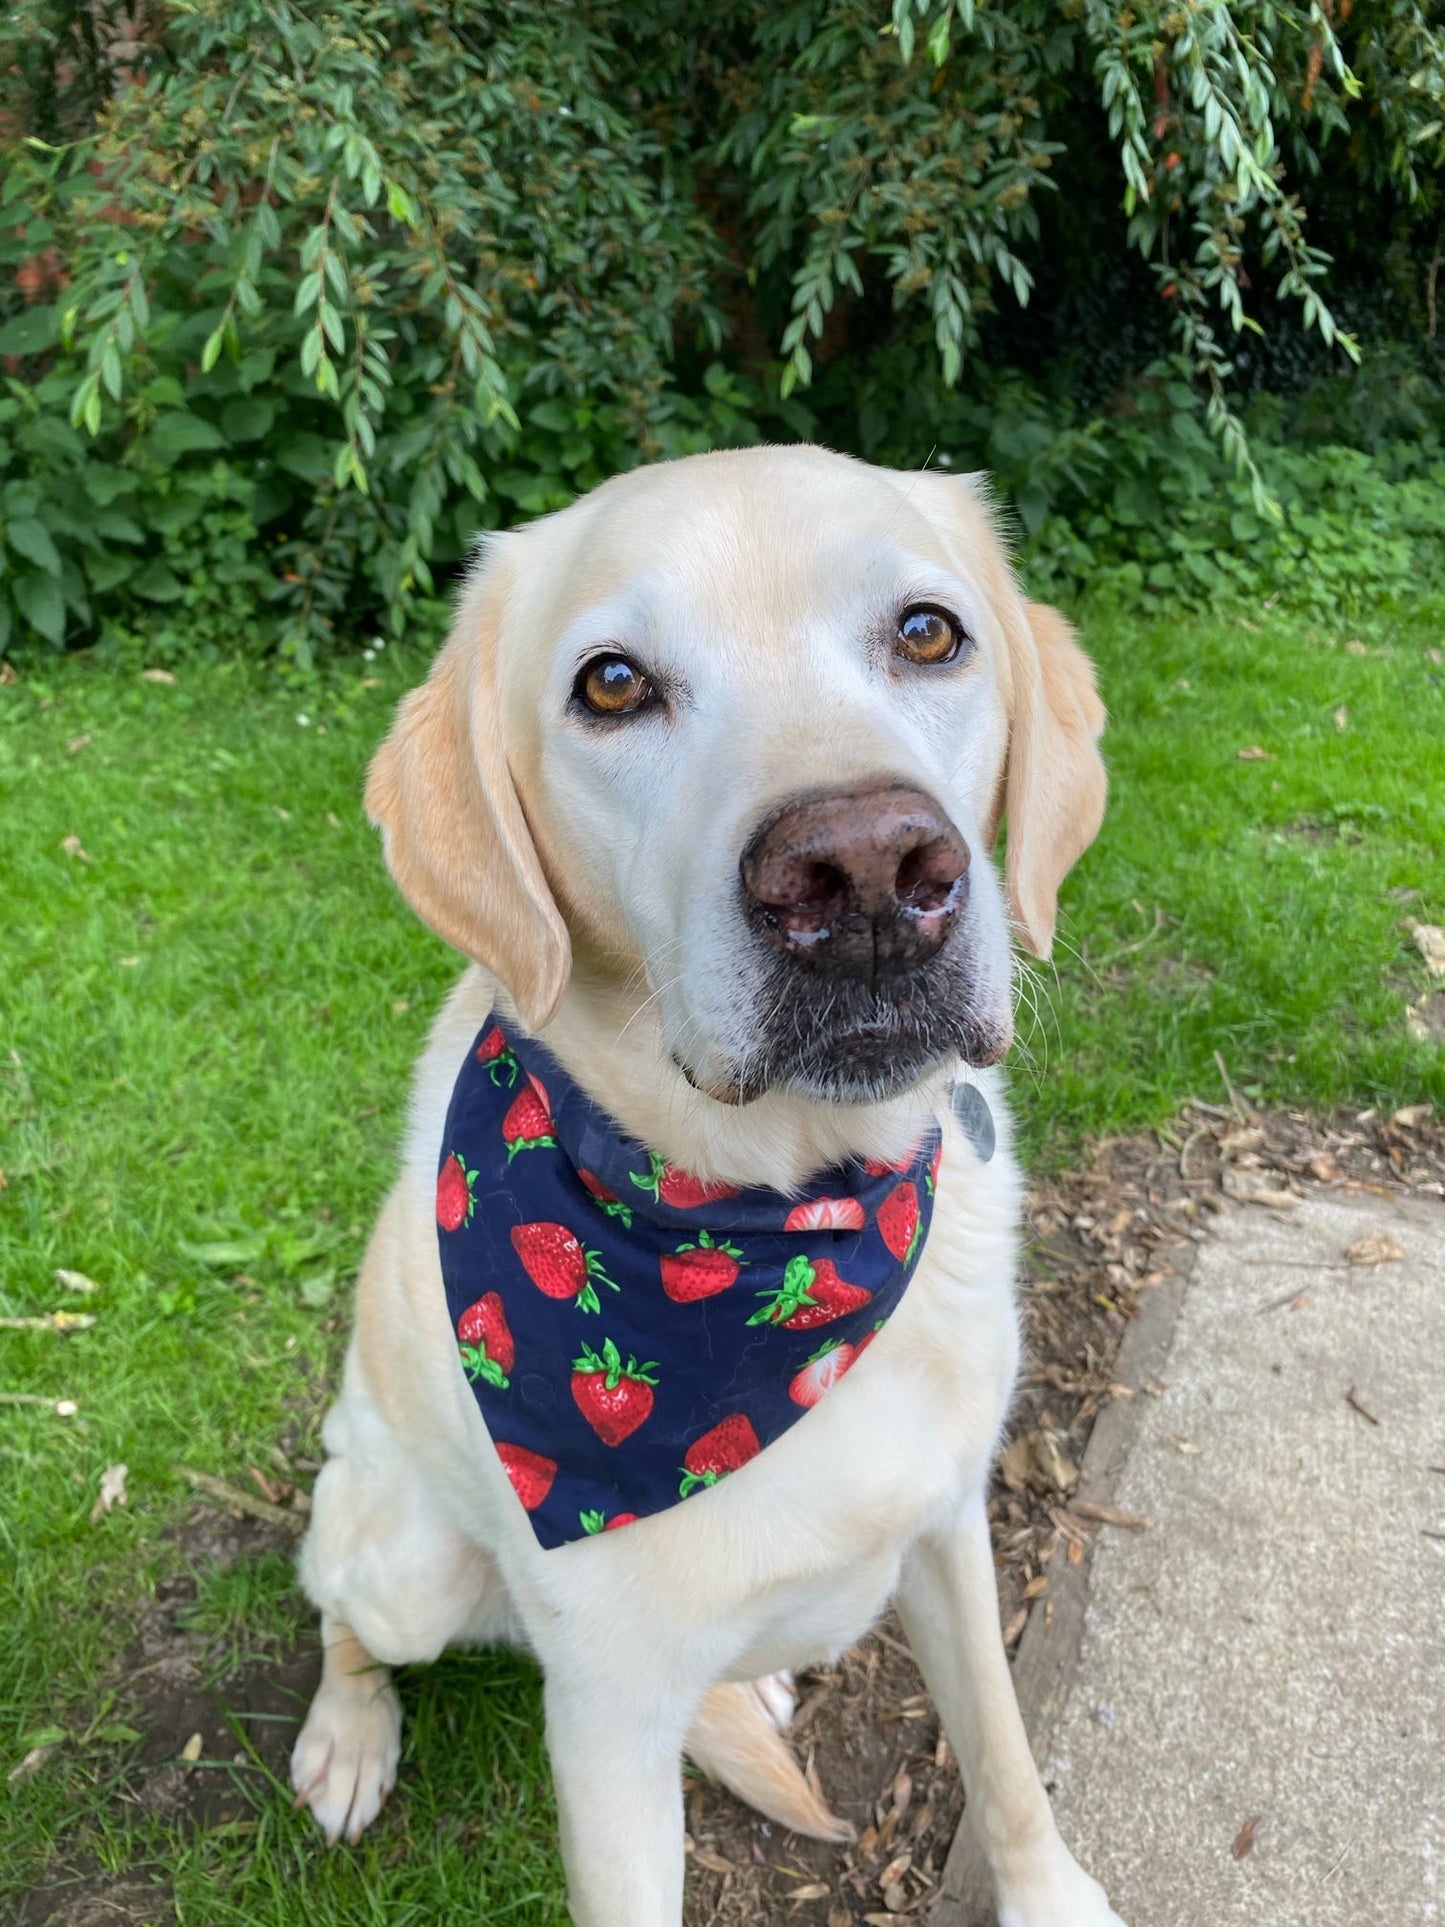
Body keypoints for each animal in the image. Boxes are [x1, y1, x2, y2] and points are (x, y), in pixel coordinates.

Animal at [289, 443, 1117, 1919]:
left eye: (926, 632)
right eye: (612, 683)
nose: (864, 872)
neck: (783, 1218)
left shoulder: (949, 1522)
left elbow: (1007, 1753)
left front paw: (1050, 1895)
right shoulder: (607, 1726)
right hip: (397, 1551)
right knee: (339, 1608)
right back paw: (347, 1730)